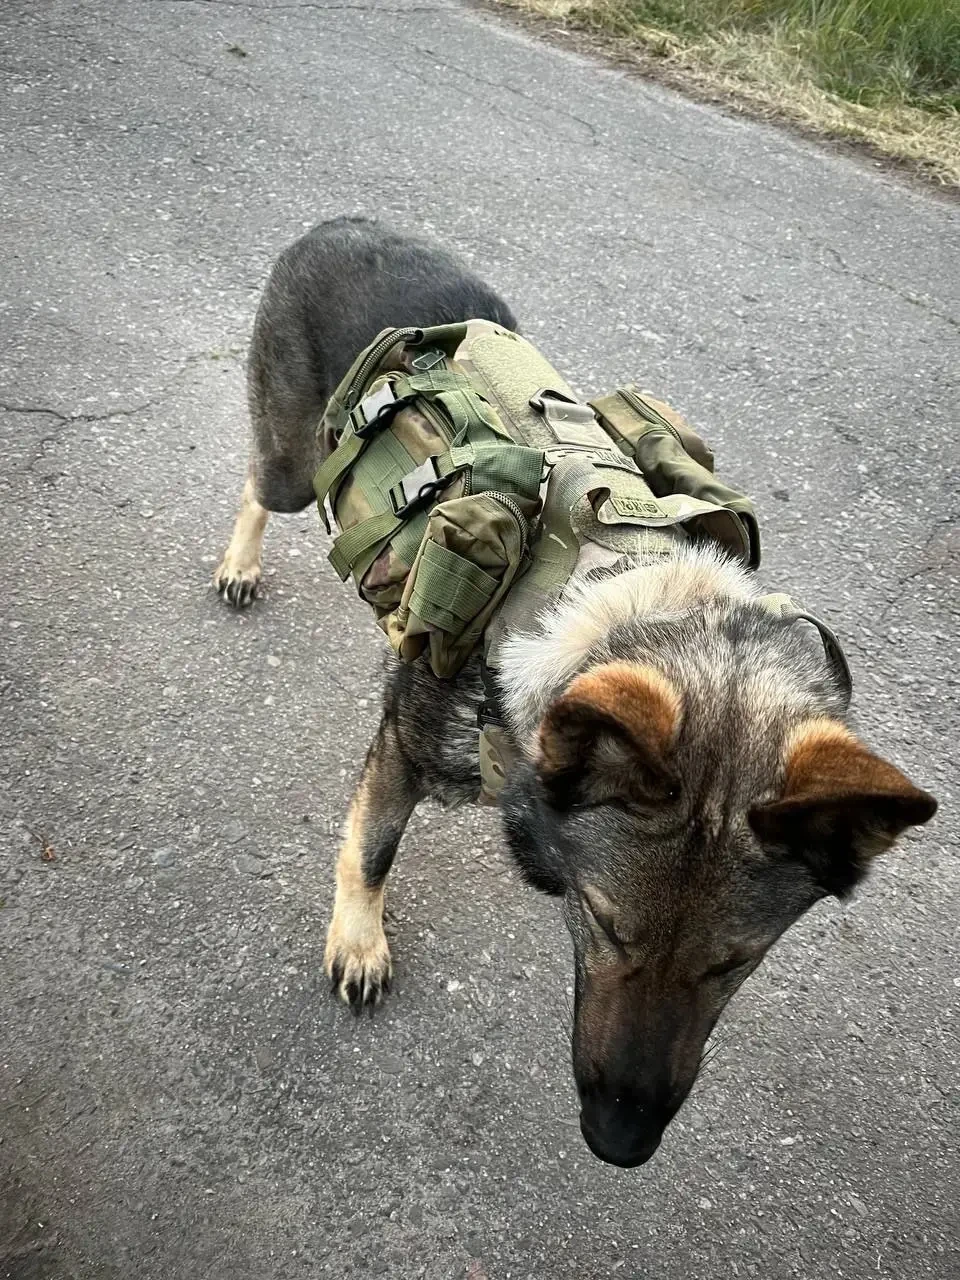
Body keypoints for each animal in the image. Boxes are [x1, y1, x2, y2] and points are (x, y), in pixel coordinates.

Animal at [216, 216, 938, 1167]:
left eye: (734, 964)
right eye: (605, 923)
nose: (618, 1142)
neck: (625, 590)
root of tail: (340, 225)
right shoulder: (404, 748)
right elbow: (369, 851)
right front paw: (360, 942)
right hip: (296, 468)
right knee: (256, 485)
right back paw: (238, 564)